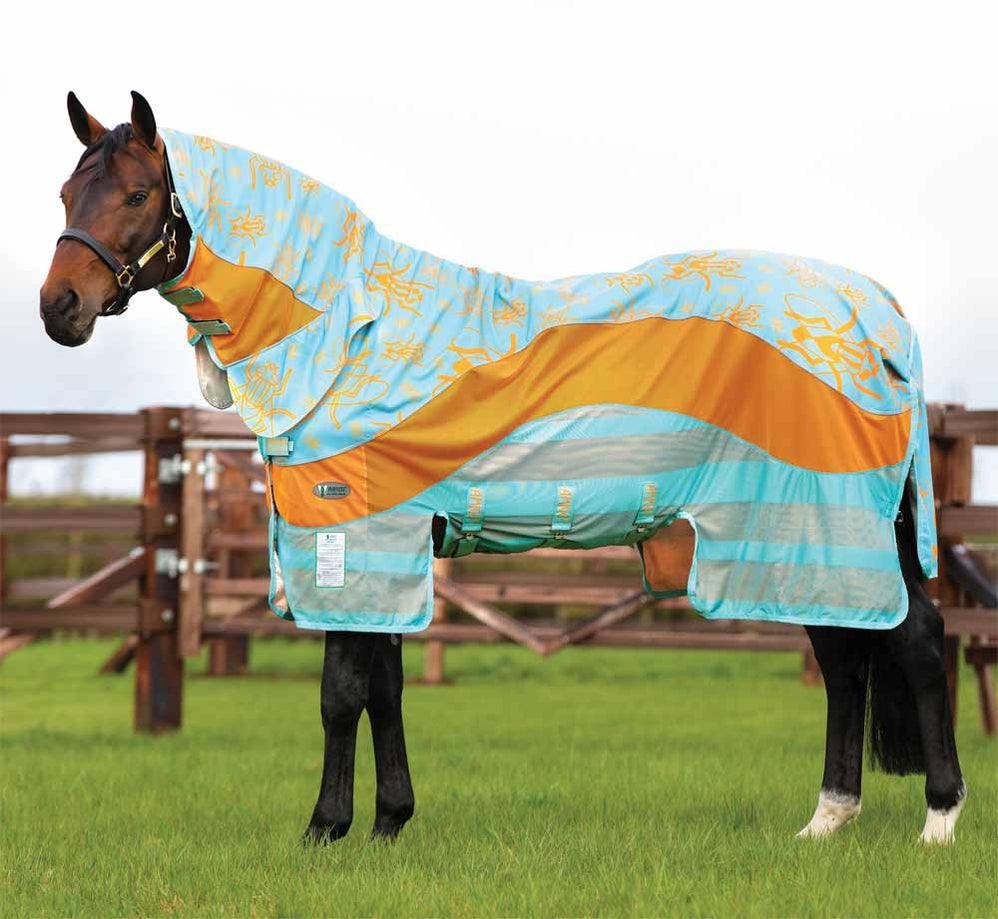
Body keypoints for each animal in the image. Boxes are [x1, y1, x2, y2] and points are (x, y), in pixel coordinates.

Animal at [39, 91, 967, 845]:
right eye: (65, 195)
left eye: (135, 195)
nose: (58, 309)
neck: (348, 333)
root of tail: (877, 307)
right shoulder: (393, 547)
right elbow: (385, 687)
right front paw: (389, 822)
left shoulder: (358, 535)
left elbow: (341, 690)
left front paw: (325, 828)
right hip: (800, 536)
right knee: (847, 658)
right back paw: (827, 819)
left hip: (837, 524)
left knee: (914, 645)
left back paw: (938, 821)